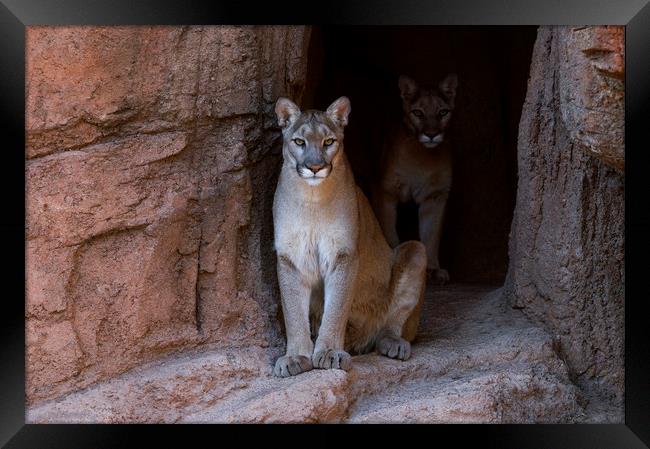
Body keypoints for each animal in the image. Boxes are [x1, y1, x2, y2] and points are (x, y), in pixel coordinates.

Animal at [272, 96, 428, 376]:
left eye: (328, 142)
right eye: (299, 142)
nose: (315, 167)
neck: (312, 200)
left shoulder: (343, 255)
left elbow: (336, 309)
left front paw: (328, 352)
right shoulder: (290, 258)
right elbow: (293, 314)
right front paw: (295, 356)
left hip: (415, 250)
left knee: (393, 325)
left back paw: (393, 344)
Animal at [370, 73, 456, 284]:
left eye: (443, 112)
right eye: (418, 112)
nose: (431, 134)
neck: (422, 158)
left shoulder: (435, 196)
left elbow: (431, 235)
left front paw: (433, 269)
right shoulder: (386, 191)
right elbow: (388, 230)